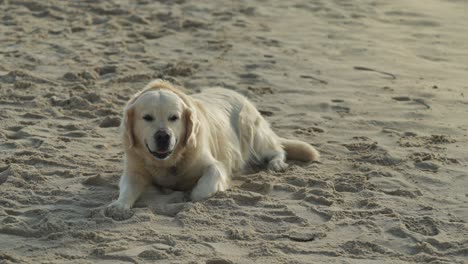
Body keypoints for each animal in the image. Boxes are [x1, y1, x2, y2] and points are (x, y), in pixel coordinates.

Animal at [108, 79, 320, 211]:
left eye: (174, 117)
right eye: (147, 118)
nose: (163, 136)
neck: (169, 162)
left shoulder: (215, 165)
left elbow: (202, 189)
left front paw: (191, 194)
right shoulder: (134, 170)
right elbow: (127, 187)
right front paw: (118, 205)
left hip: (252, 132)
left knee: (276, 149)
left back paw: (277, 163)